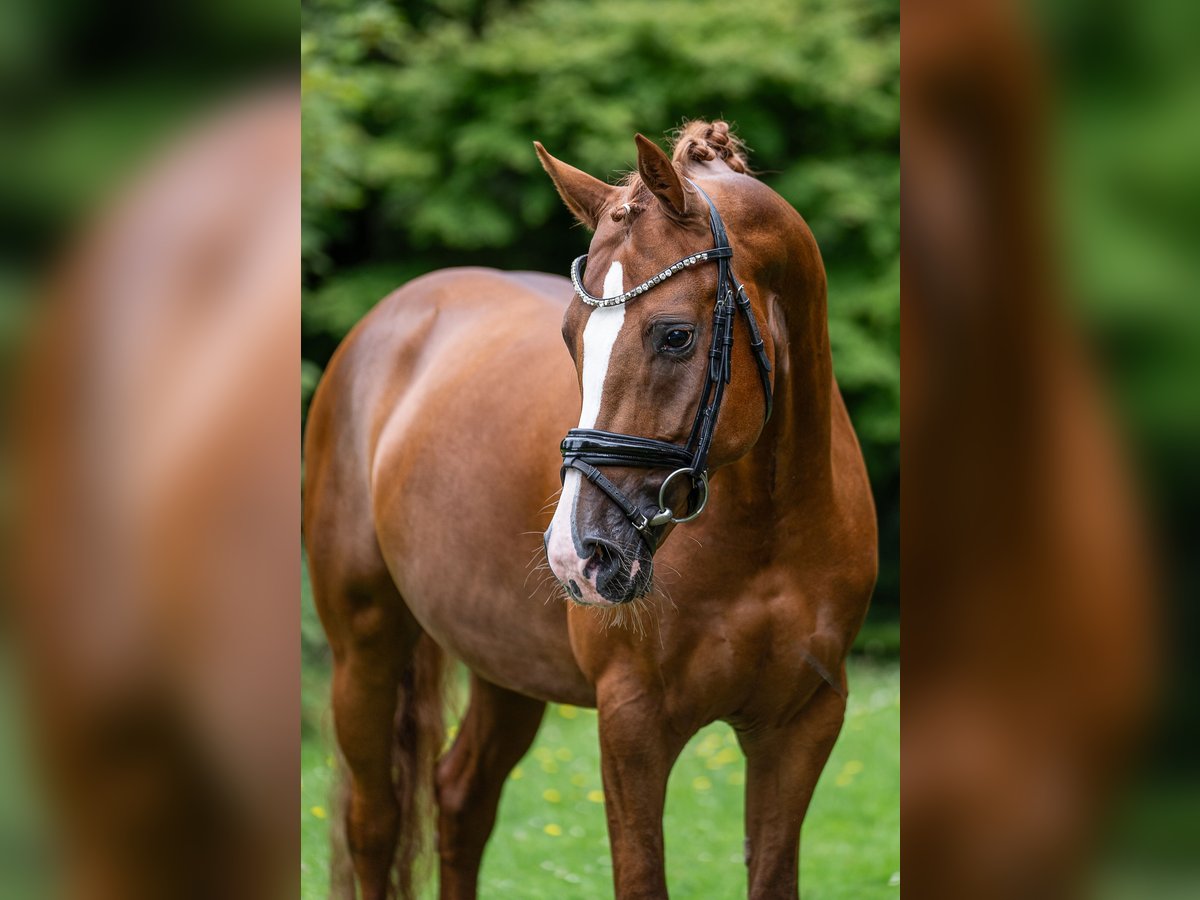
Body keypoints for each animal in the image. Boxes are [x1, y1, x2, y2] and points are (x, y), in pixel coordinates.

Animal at [304, 121, 878, 900]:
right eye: (571, 335)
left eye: (675, 334)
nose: (577, 555)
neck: (768, 531)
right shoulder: (632, 725)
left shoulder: (801, 725)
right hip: (364, 649)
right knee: (375, 823)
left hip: (503, 666)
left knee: (460, 800)